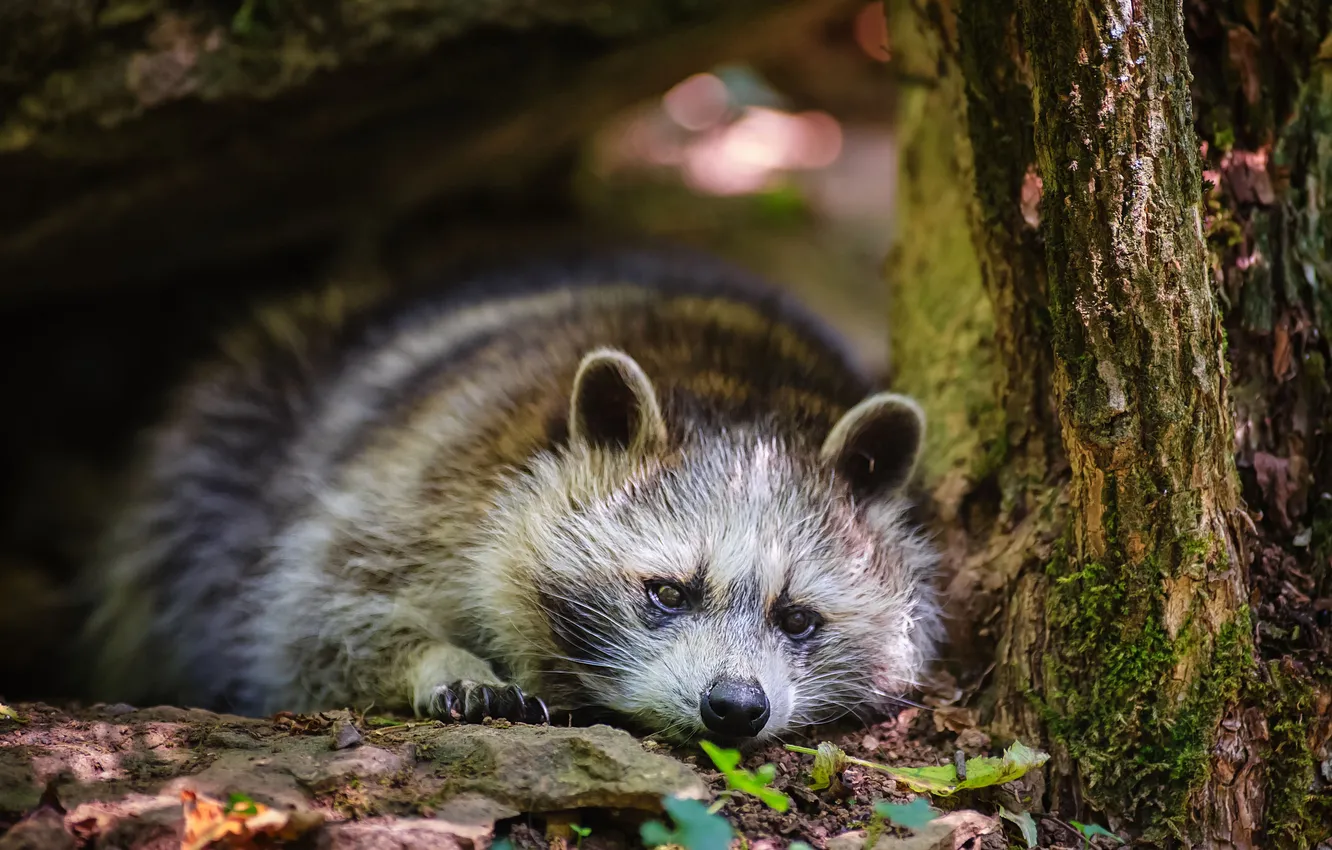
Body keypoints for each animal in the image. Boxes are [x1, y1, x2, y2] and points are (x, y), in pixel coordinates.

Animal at [80, 251, 937, 746]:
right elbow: (312, 616)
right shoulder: (428, 478)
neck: (738, 392)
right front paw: (434, 659)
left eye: (798, 618)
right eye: (666, 592)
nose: (734, 706)